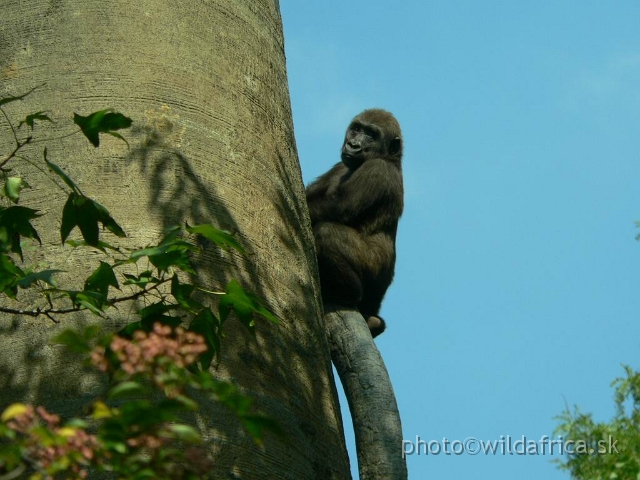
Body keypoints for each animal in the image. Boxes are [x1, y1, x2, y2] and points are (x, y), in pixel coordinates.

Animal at [306, 109, 404, 338]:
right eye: (357, 129)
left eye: (371, 135)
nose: (353, 144)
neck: (389, 157)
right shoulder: (339, 166)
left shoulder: (378, 169)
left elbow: (339, 209)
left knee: (327, 232)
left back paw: (347, 293)